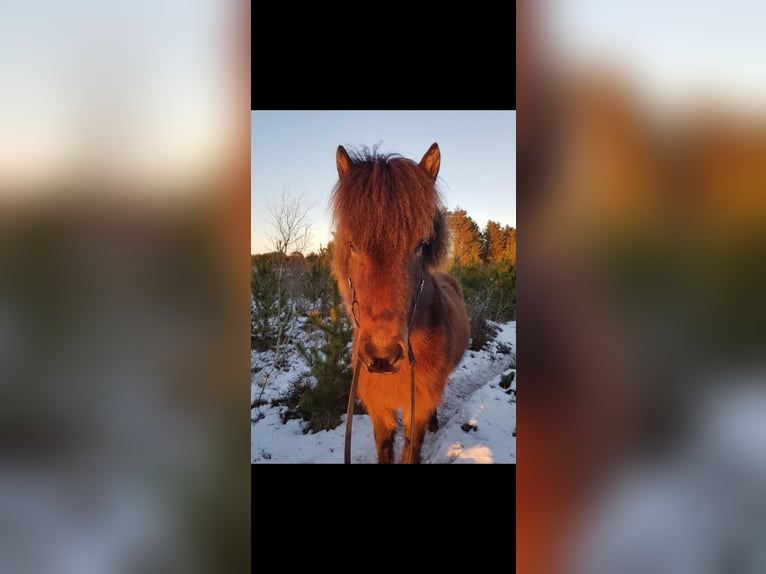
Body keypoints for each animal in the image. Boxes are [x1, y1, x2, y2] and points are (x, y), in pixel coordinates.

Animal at [332, 143, 472, 464]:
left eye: (420, 244)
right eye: (352, 244)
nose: (381, 357)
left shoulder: (416, 406)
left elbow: (412, 448)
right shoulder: (380, 409)